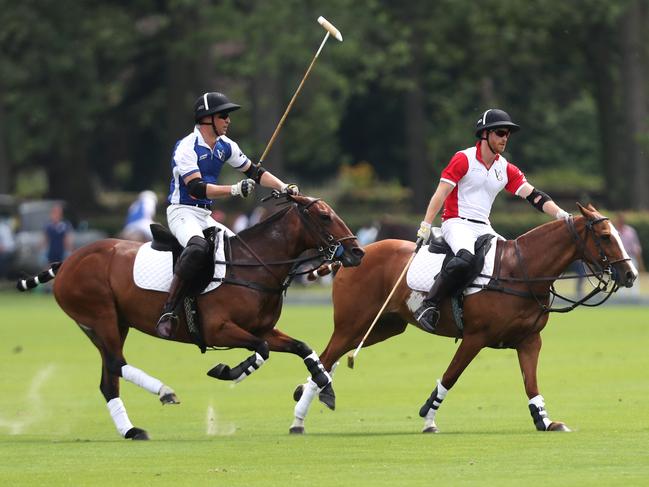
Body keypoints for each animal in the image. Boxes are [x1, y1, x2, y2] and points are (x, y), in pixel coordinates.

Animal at [17, 193, 364, 440]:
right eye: (324, 216)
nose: (357, 252)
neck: (254, 265)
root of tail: (67, 261)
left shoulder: (263, 328)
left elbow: (302, 347)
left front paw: (324, 386)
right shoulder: (218, 328)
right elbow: (261, 351)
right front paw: (229, 371)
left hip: (114, 322)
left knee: (108, 379)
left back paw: (131, 430)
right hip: (99, 316)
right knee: (116, 363)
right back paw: (164, 391)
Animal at [292, 204, 636, 432]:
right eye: (606, 235)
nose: (631, 275)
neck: (521, 272)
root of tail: (349, 256)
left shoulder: (529, 340)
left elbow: (531, 382)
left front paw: (545, 420)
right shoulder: (475, 338)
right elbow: (450, 376)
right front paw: (429, 418)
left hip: (384, 326)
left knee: (334, 358)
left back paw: (314, 392)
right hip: (352, 323)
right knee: (327, 354)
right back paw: (299, 415)